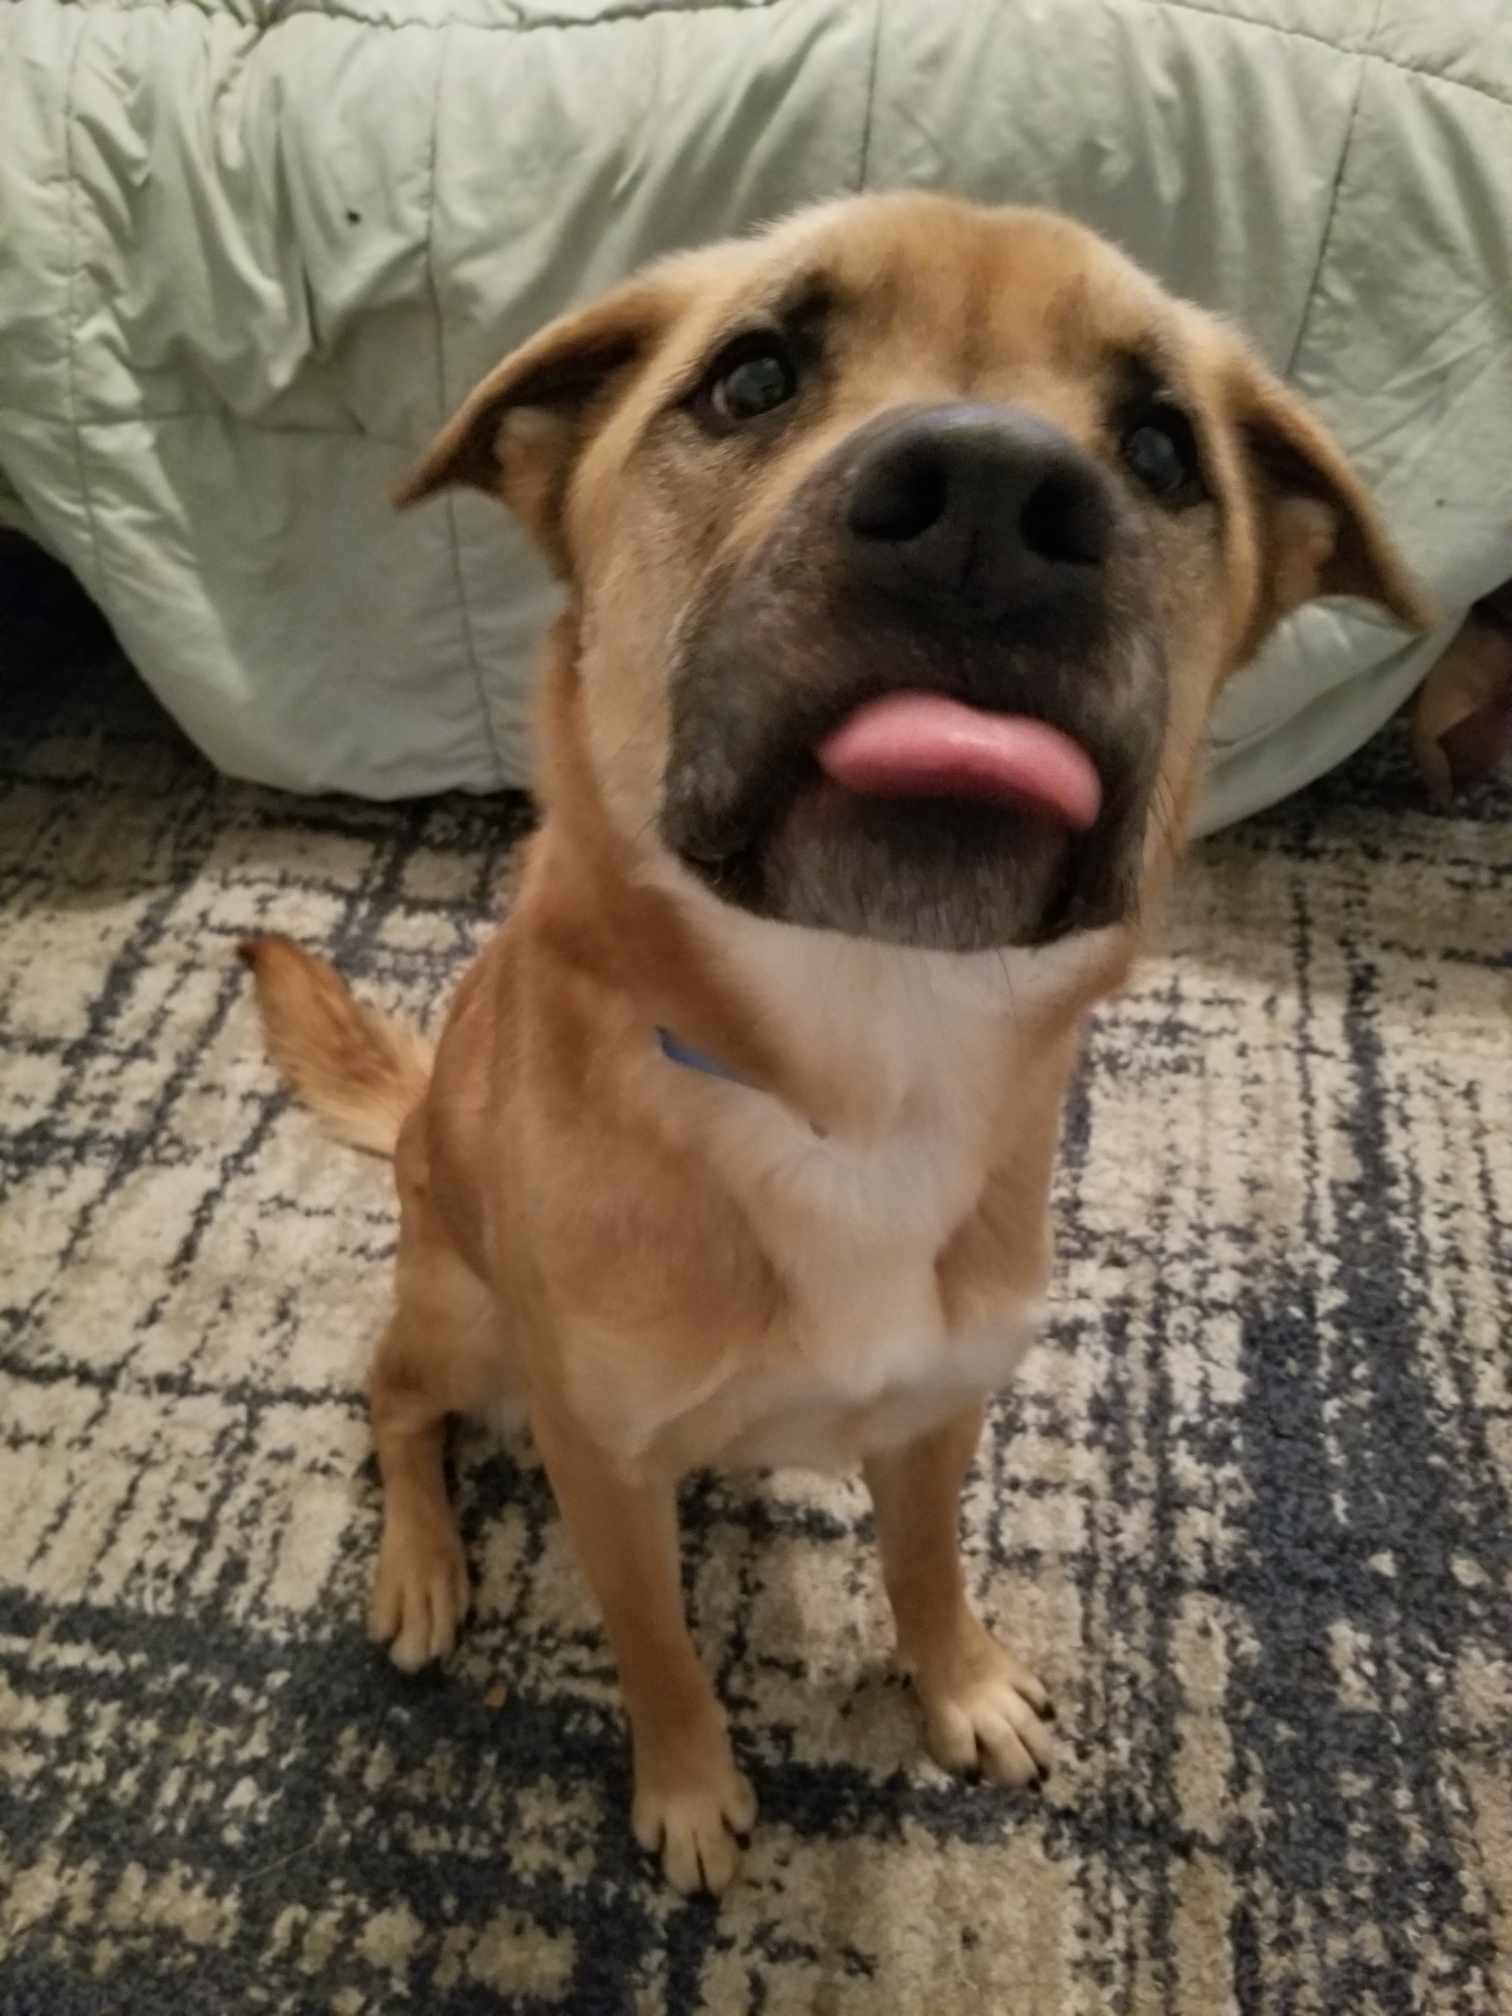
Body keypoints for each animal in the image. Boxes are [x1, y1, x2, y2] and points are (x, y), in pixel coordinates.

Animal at [239, 196, 1435, 1895]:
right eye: (750, 378)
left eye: (1159, 447)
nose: (989, 505)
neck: (861, 1068)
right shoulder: (603, 1464)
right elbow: (660, 1649)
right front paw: (689, 1789)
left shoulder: (941, 1413)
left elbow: (928, 1568)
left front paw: (963, 1689)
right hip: (462, 1318)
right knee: (390, 1398)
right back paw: (420, 1566)